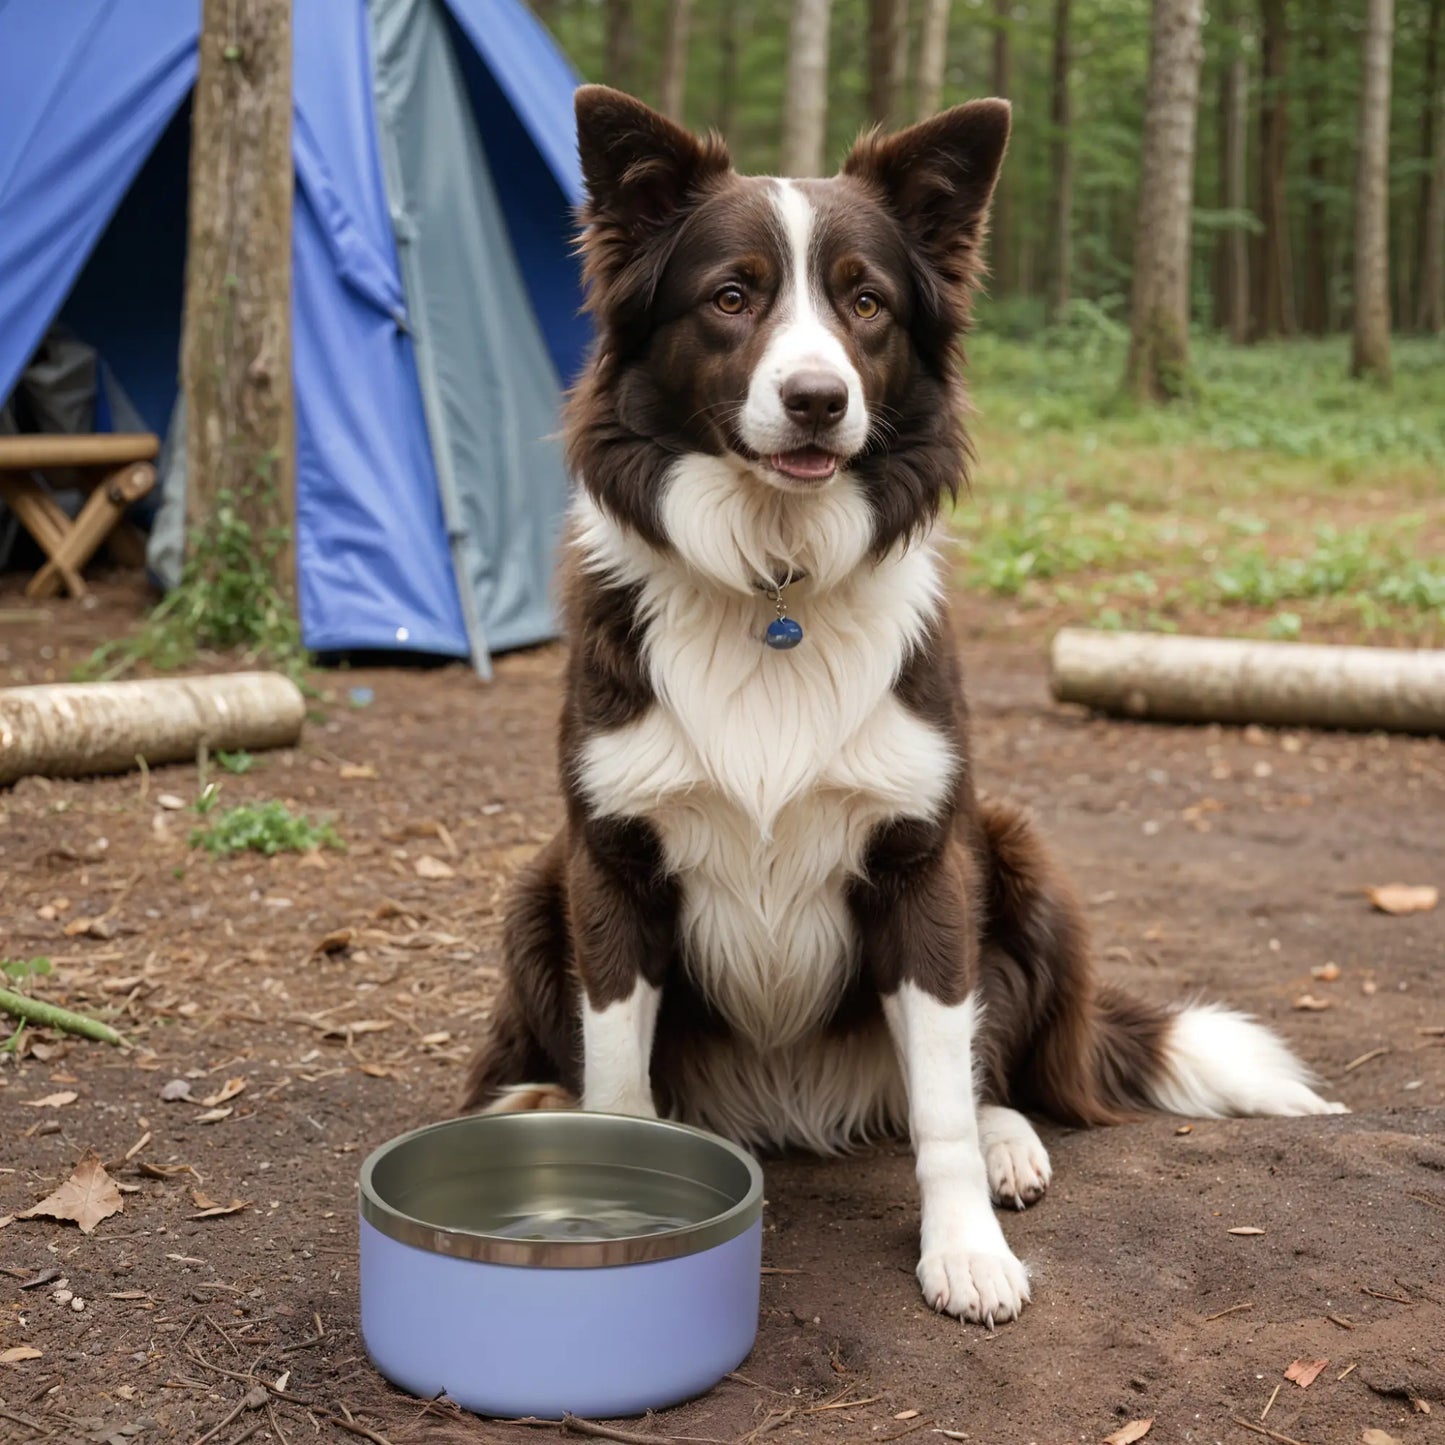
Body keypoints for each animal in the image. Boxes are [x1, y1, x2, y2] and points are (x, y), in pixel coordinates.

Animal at [462, 90, 1340, 1323]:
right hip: (534, 887)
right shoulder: (610, 860)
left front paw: (965, 1247)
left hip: (1016, 854)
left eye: (864, 301)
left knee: (982, 1068)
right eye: (730, 296)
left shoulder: (925, 862)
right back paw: (535, 1100)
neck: (774, 587)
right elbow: (622, 1082)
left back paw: (1011, 1138)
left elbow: (937, 1103)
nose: (817, 399)